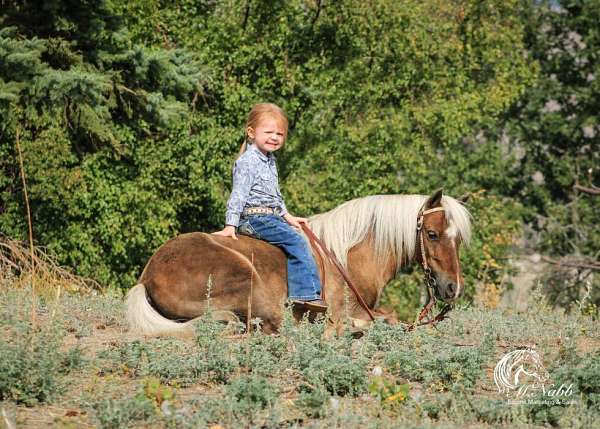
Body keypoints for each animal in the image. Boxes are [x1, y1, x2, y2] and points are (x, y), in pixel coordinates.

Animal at [126, 190, 472, 334]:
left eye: (457, 239)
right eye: (432, 234)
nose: (452, 289)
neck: (348, 257)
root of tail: (147, 276)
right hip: (248, 282)